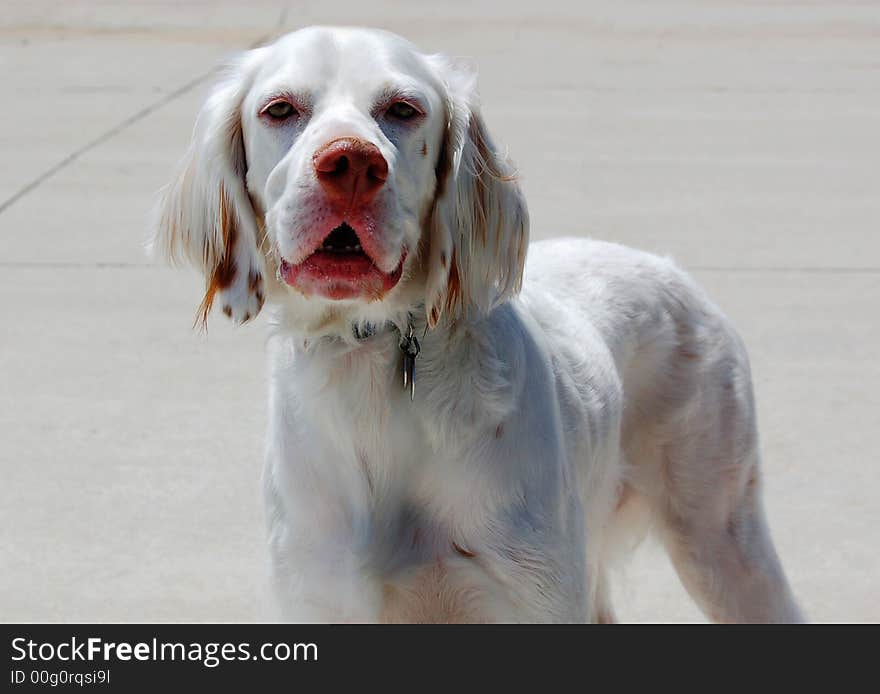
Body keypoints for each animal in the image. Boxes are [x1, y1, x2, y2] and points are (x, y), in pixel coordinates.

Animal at [153, 27, 804, 624]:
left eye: (403, 109)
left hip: (721, 541)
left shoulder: (529, 597)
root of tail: (674, 271)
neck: (374, 373)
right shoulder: (320, 596)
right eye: (280, 109)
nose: (352, 164)